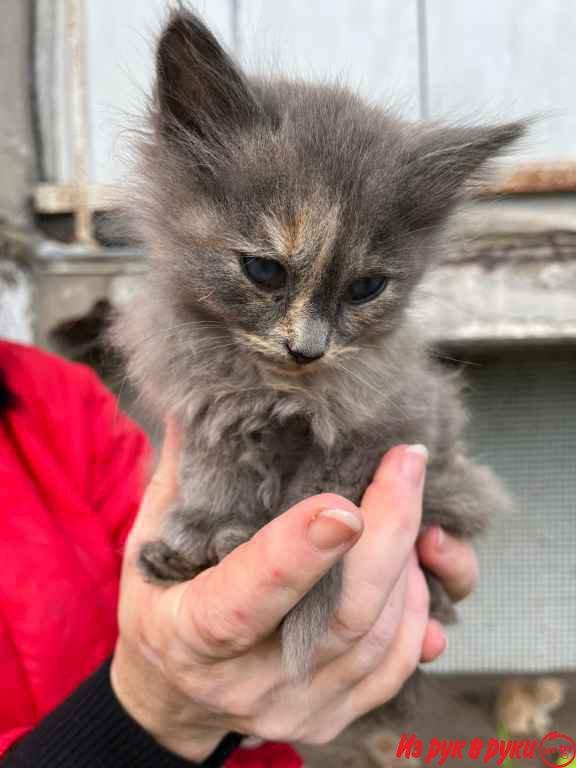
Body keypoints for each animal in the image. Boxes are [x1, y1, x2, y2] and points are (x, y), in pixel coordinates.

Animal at [115, 6, 520, 760]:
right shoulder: (209, 403)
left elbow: (320, 483)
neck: (275, 389)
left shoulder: (399, 424)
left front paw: (261, 542)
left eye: (366, 288)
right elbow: (219, 467)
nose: (308, 349)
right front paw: (205, 529)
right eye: (264, 271)